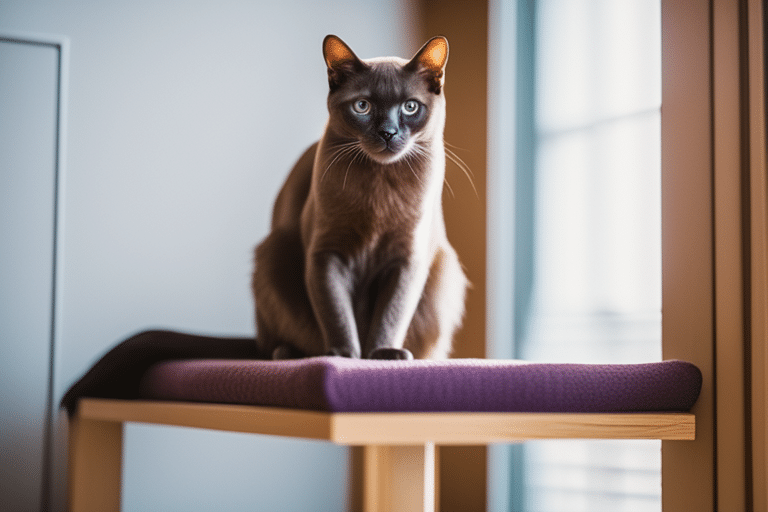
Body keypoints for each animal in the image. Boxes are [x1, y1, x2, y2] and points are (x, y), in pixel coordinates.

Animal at [252, 35, 468, 360]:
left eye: (410, 107)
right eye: (362, 106)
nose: (388, 132)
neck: (379, 193)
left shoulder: (405, 261)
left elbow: (391, 315)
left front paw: (381, 354)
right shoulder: (327, 255)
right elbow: (337, 313)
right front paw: (344, 357)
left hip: (444, 271)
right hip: (273, 255)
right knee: (274, 342)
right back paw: (291, 353)